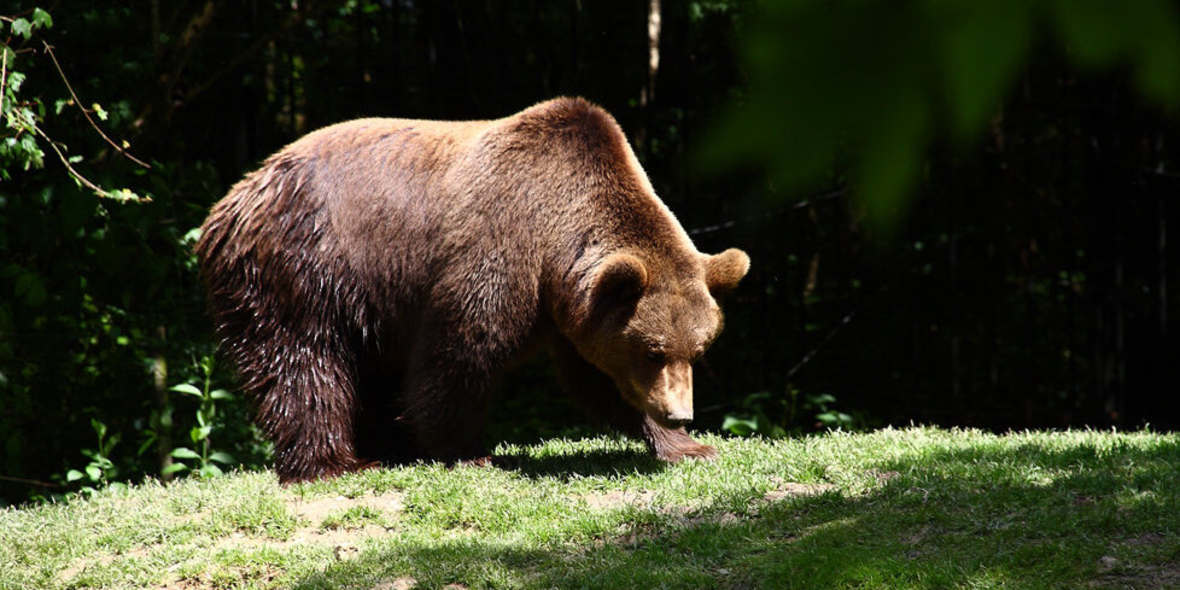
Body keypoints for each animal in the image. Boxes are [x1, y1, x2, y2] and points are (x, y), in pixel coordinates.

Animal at [193, 97, 745, 483]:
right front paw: (468, 449)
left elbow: (598, 376)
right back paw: (335, 463)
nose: (680, 412)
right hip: (306, 267)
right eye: (653, 350)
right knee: (304, 362)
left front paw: (686, 445)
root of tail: (230, 202)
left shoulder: (575, 310)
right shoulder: (499, 247)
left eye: (698, 350)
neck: (556, 242)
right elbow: (461, 351)